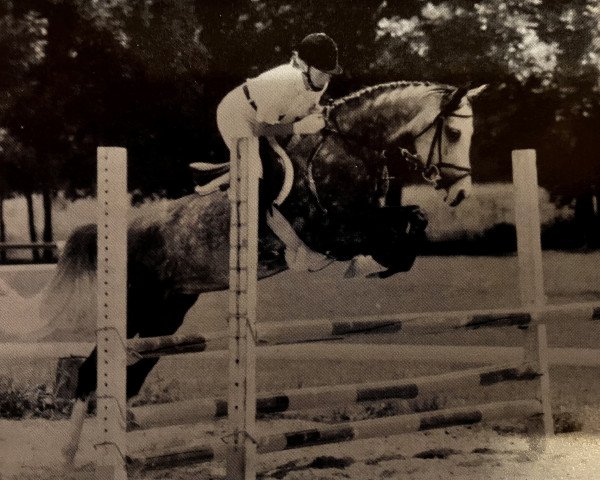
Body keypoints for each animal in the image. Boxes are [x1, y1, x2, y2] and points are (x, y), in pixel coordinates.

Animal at [55, 80, 488, 464]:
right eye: (453, 132)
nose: (460, 192)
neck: (349, 147)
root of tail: (124, 228)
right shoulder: (328, 230)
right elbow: (386, 230)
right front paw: (370, 263)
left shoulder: (365, 218)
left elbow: (414, 219)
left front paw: (382, 262)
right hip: (137, 307)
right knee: (91, 373)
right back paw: (71, 455)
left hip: (168, 314)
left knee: (129, 377)